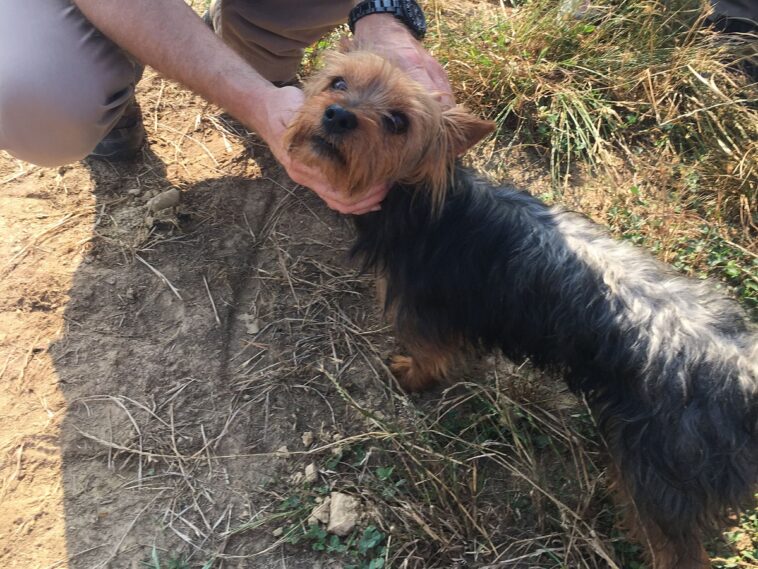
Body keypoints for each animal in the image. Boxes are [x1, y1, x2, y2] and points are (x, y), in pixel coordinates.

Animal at [284, 48, 758, 568]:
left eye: (397, 122)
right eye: (338, 82)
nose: (337, 114)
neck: (420, 201)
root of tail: (743, 369)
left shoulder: (428, 313)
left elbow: (429, 357)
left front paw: (410, 376)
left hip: (662, 479)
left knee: (676, 546)